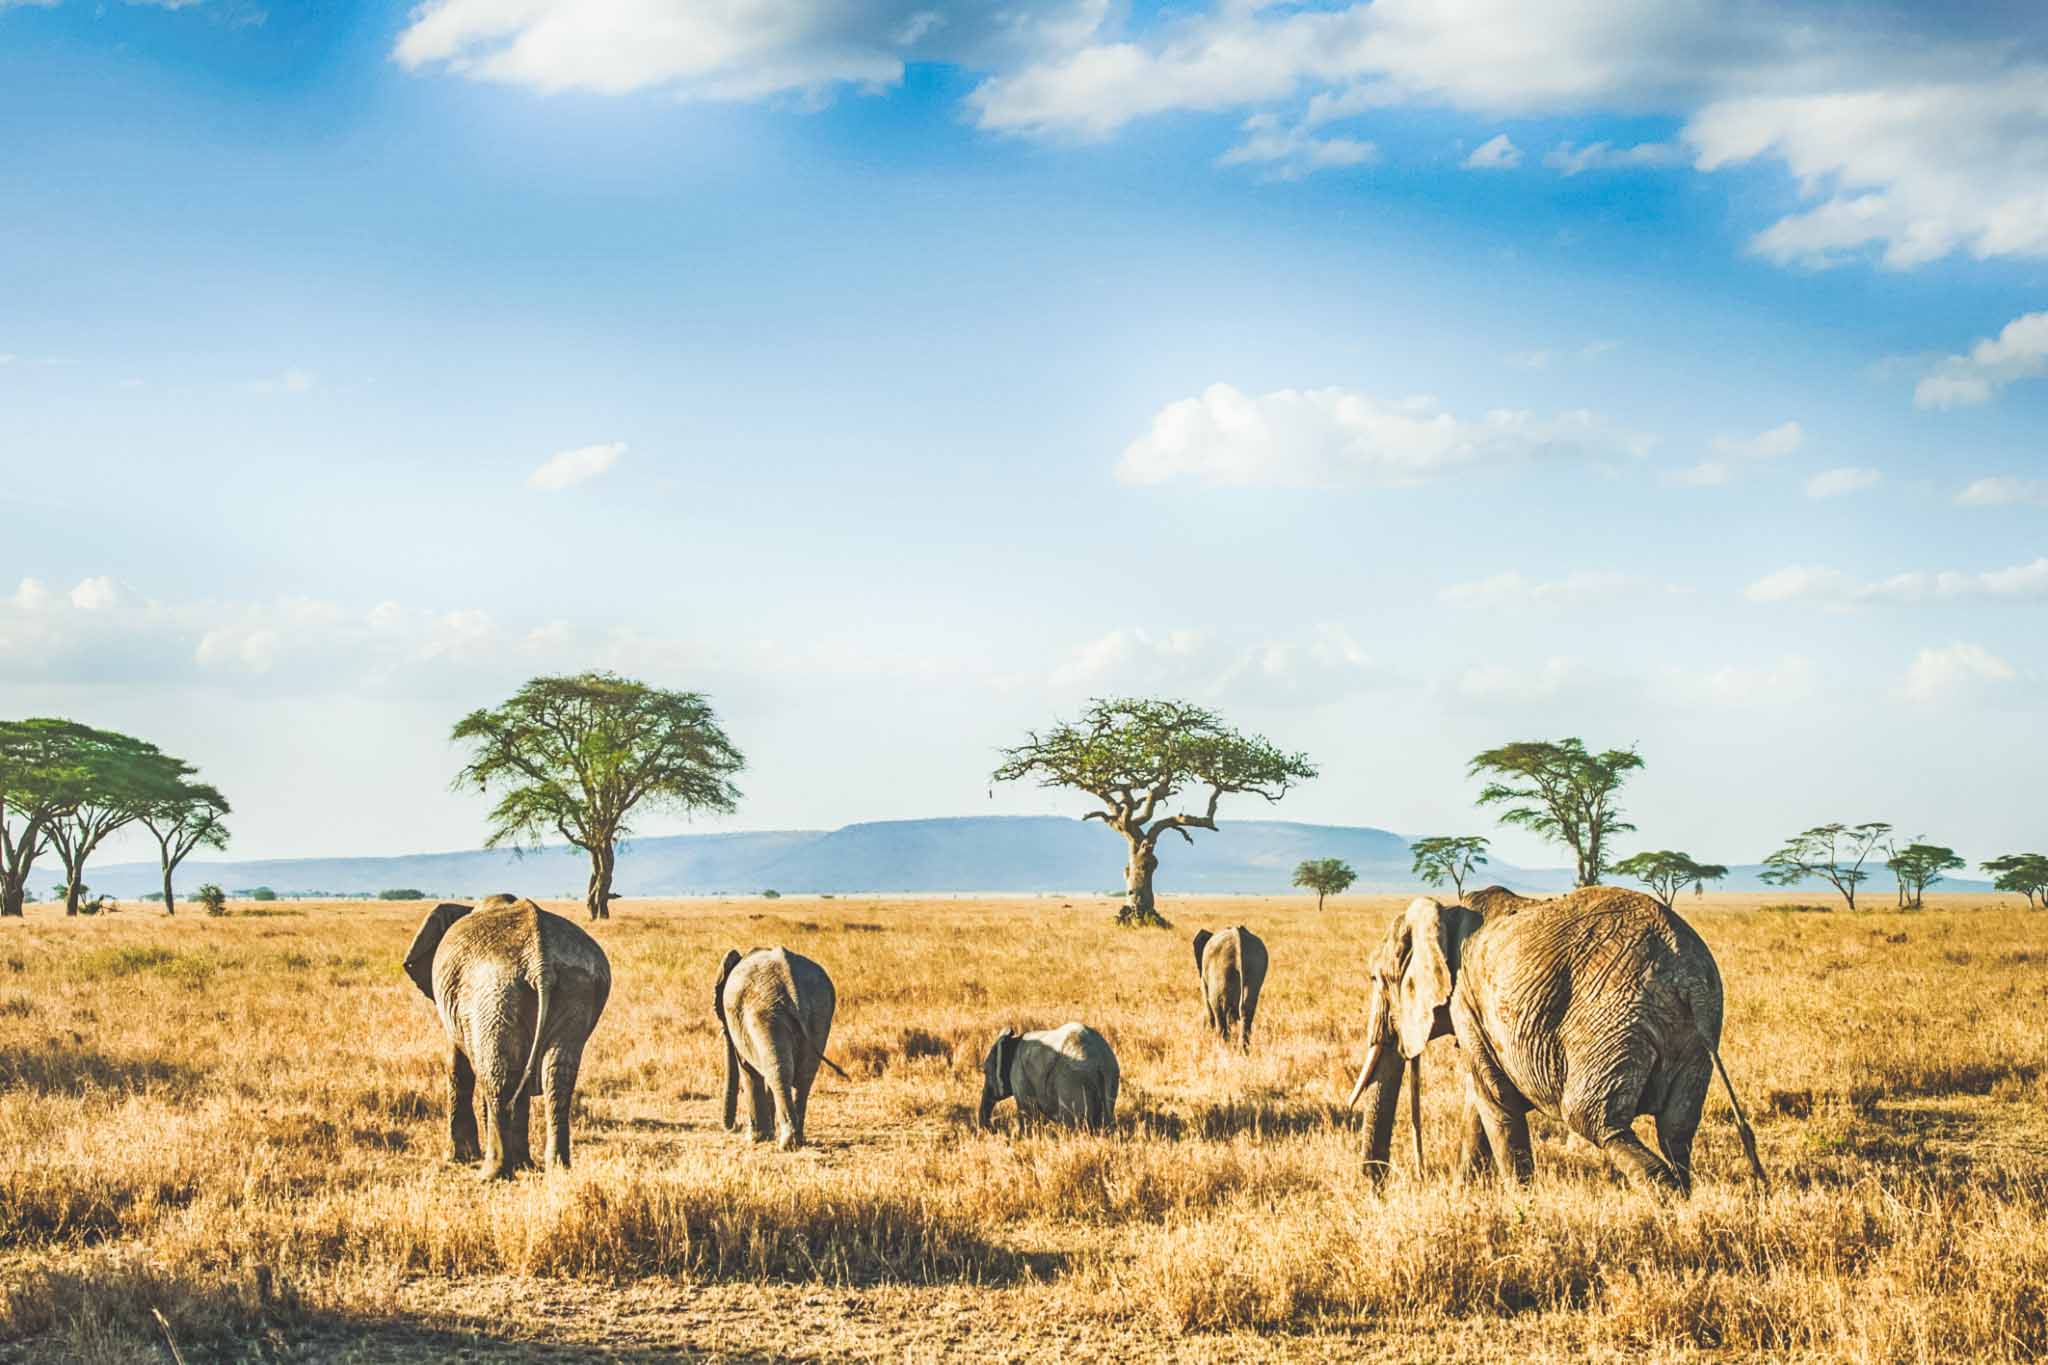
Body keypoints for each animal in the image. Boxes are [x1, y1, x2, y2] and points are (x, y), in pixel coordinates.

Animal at [399, 892, 606, 1178]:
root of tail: (540, 962)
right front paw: (523, 1164)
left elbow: (459, 1067)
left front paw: (458, 1158)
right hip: (576, 985)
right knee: (557, 1076)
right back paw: (557, 1168)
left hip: (495, 990)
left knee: (498, 1075)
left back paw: (492, 1173)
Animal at [712, 949, 839, 1154]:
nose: (735, 1126)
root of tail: (793, 988)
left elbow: (748, 1070)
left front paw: (755, 1139)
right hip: (820, 1011)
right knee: (804, 1076)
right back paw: (797, 1140)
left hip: (766, 1013)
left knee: (778, 1073)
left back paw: (787, 1144)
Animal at [978, 1019, 1122, 1137]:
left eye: (985, 1071)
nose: (992, 1130)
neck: (1012, 1040)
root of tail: (1100, 1061)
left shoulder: (1019, 1072)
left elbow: (1027, 1110)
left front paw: (1025, 1138)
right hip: (1111, 1077)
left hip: (1072, 1080)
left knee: (1073, 1122)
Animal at [1187, 925, 1261, 1055]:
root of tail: (1237, 936)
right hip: (1255, 966)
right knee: (1247, 1007)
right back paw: (1243, 1051)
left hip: (1219, 968)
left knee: (1218, 1006)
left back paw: (1223, 1047)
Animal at [1343, 888, 1761, 1195]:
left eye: (1377, 978)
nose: (1377, 1189)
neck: (1444, 911)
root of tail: (1687, 977)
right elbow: (1479, 1102)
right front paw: (1462, 1197)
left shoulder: (1466, 1001)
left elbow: (1495, 1100)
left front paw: (1521, 1202)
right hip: (1698, 1033)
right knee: (1676, 1128)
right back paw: (1685, 1196)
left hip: (1612, 1018)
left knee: (1594, 1118)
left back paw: (1666, 1199)